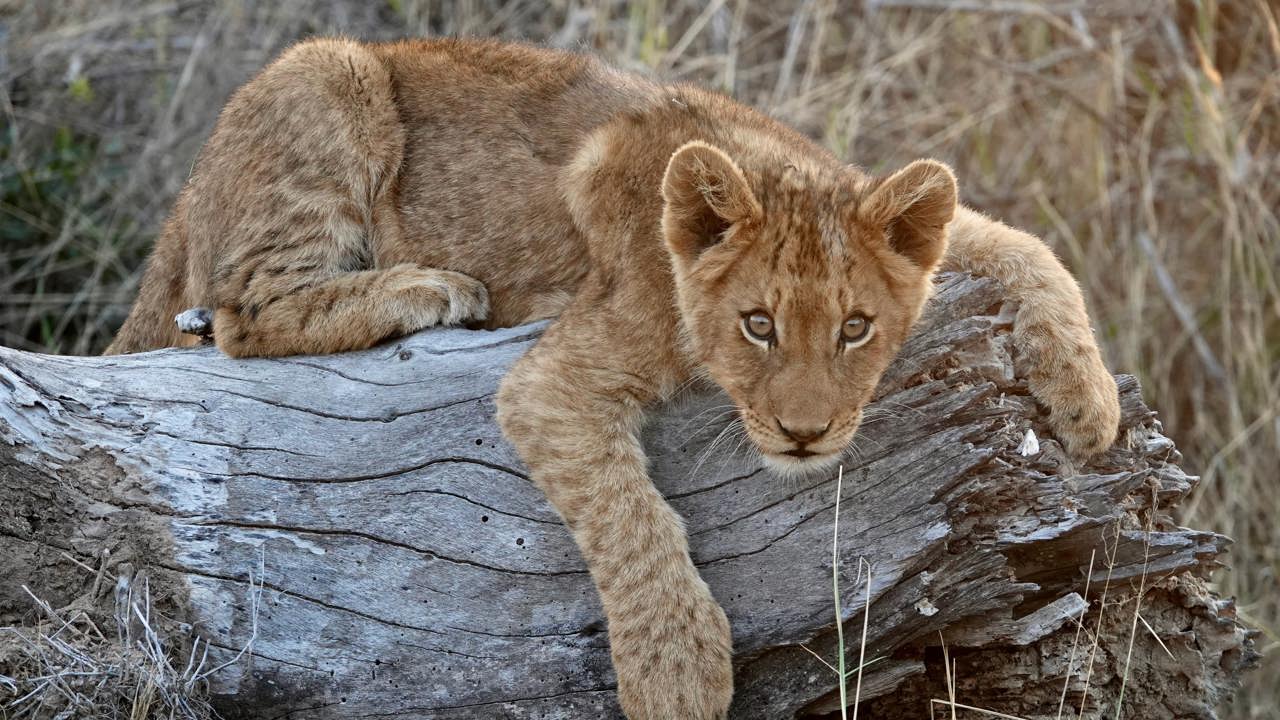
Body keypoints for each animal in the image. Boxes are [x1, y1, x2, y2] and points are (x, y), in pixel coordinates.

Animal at [105, 37, 1120, 719]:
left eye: (855, 329)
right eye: (757, 326)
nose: (805, 435)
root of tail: (184, 202)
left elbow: (1020, 241)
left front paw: (1088, 398)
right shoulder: (555, 376)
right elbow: (629, 518)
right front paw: (678, 674)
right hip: (329, 72)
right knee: (243, 310)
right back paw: (433, 289)